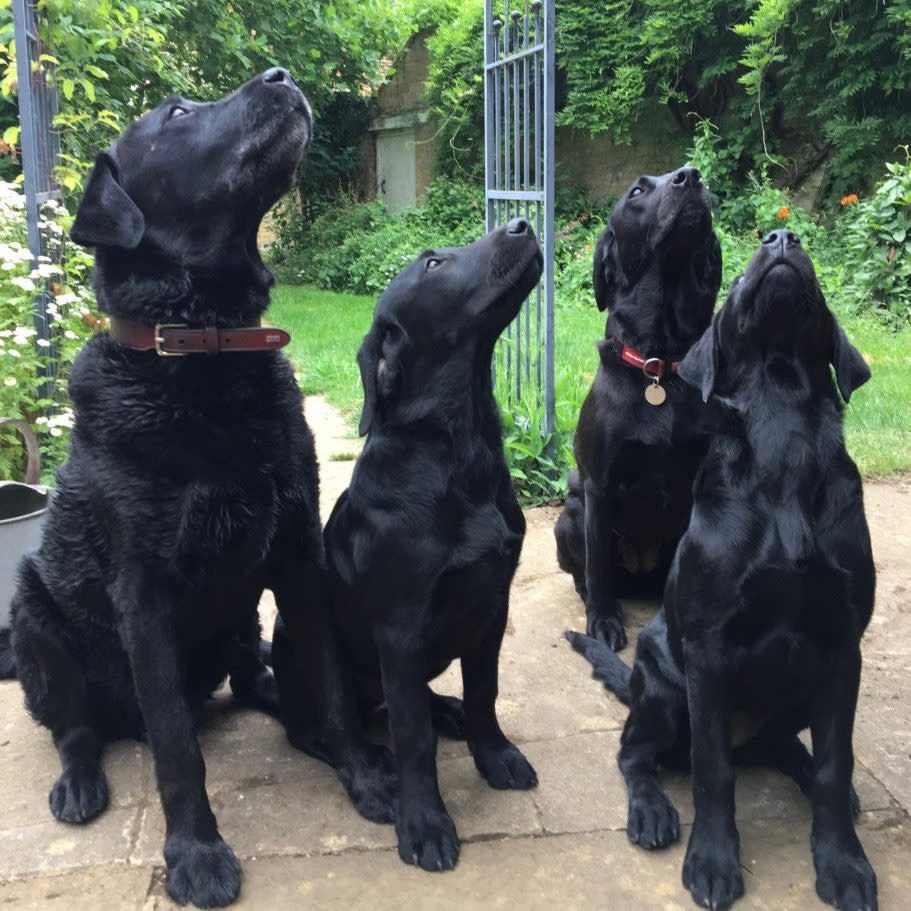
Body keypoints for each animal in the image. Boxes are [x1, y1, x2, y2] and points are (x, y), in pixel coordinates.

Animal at [10, 71, 394, 911]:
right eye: (179, 115)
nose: (280, 76)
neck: (206, 349)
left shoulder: (297, 551)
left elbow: (332, 682)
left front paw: (363, 772)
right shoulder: (143, 591)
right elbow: (178, 749)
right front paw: (196, 853)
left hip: (239, 618)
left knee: (257, 677)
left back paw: (299, 718)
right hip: (33, 611)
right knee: (74, 726)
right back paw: (79, 782)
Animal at [288, 221, 540, 876]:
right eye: (433, 264)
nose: (521, 226)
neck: (458, 449)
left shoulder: (493, 605)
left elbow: (484, 692)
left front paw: (494, 754)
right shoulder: (399, 630)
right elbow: (412, 738)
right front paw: (425, 823)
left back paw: (446, 711)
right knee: (329, 729)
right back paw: (372, 770)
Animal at [552, 167, 724, 652]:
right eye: (637, 191)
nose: (691, 176)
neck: (659, 369)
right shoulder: (600, 487)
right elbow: (598, 568)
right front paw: (603, 622)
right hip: (570, 517)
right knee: (587, 572)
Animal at [568, 230, 876, 911]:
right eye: (735, 279)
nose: (782, 237)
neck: (782, 424)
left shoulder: (842, 647)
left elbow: (835, 760)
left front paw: (844, 864)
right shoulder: (708, 653)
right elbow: (713, 771)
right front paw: (712, 862)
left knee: (793, 751)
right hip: (662, 686)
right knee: (635, 754)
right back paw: (652, 810)